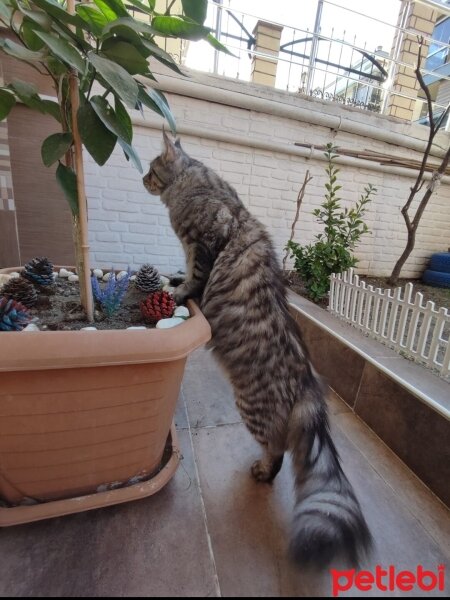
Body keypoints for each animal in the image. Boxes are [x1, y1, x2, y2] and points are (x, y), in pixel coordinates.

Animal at [144, 131, 372, 568]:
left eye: (150, 168)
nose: (141, 177)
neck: (198, 186)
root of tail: (308, 385)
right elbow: (185, 271)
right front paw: (174, 280)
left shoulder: (205, 243)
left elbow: (195, 279)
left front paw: (177, 293)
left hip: (252, 408)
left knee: (278, 451)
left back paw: (262, 473)